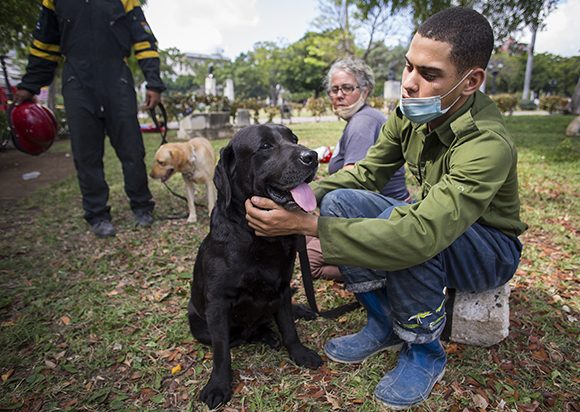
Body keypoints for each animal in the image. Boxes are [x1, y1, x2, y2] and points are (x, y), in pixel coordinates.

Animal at [191, 124, 324, 408]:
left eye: (293, 139)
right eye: (265, 146)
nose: (312, 156)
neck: (258, 238)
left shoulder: (282, 287)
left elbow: (289, 328)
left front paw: (300, 354)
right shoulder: (218, 304)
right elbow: (222, 350)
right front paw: (218, 385)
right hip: (200, 326)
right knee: (240, 336)